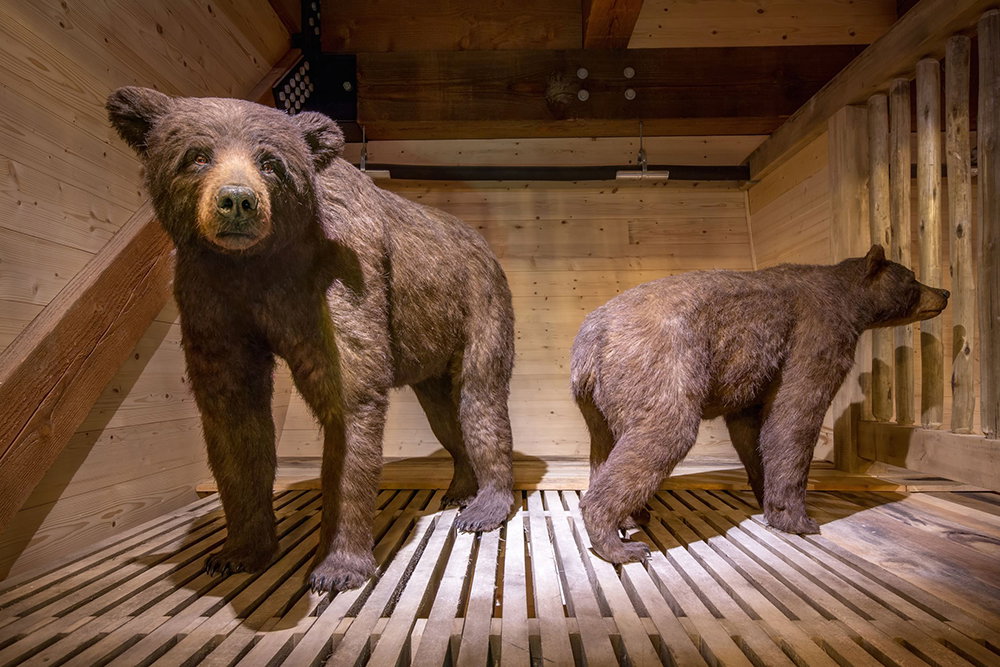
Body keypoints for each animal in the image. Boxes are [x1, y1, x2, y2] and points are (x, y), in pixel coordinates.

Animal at [106, 87, 515, 592]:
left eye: (270, 163)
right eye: (197, 156)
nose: (237, 200)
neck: (259, 265)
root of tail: (484, 244)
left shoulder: (341, 275)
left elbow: (350, 395)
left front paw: (337, 565)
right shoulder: (211, 295)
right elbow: (233, 414)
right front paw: (237, 551)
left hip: (478, 303)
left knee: (479, 397)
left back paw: (485, 507)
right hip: (430, 348)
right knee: (444, 412)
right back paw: (458, 489)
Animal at [570, 245, 948, 563]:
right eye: (913, 277)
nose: (944, 292)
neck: (850, 304)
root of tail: (591, 337)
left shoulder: (754, 370)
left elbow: (749, 428)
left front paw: (765, 494)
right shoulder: (814, 336)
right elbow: (794, 417)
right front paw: (797, 517)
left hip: (595, 401)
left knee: (604, 445)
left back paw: (632, 517)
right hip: (661, 362)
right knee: (665, 432)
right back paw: (618, 543)